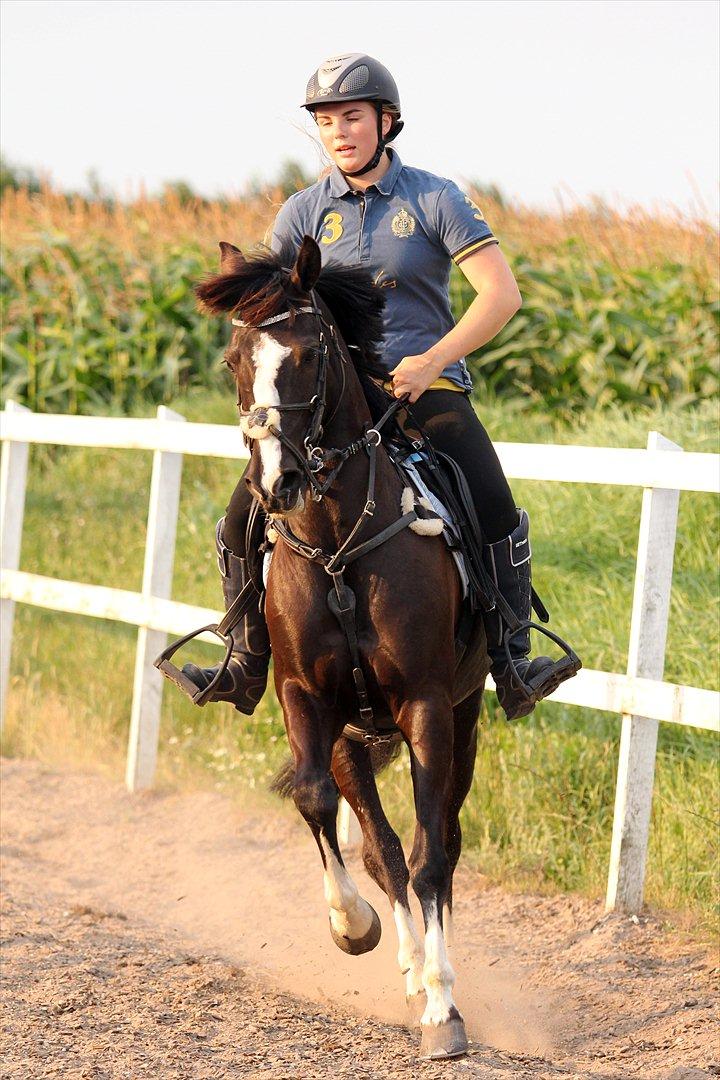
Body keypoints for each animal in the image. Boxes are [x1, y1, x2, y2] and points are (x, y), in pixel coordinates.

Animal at [192, 235, 490, 1061]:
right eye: (234, 358)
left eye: (309, 354)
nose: (278, 481)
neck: (336, 551)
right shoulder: (304, 698)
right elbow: (316, 803)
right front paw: (353, 928)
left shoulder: (427, 707)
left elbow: (431, 854)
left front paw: (444, 1012)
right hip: (352, 736)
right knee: (377, 848)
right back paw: (405, 963)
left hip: (462, 723)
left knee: (437, 844)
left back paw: (430, 980)